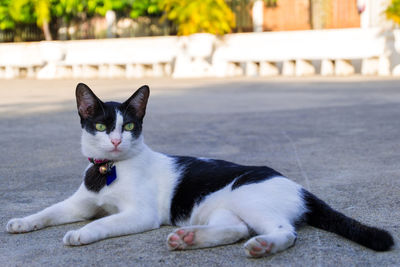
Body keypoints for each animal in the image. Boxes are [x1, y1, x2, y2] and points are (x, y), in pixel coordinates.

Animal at [5, 83, 394, 258]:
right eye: (101, 127)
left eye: (128, 127)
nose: (115, 141)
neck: (108, 171)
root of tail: (300, 187)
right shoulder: (78, 204)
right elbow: (48, 211)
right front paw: (22, 222)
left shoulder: (141, 214)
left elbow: (104, 222)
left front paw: (82, 234)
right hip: (218, 208)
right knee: (235, 229)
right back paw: (189, 239)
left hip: (248, 198)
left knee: (284, 232)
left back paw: (263, 245)